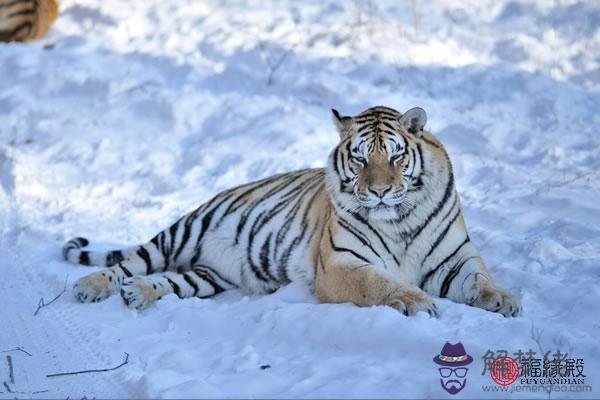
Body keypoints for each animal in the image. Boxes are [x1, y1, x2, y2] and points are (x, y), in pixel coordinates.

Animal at [62, 104, 520, 318]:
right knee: (127, 263)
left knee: (168, 281)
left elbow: (480, 279)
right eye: (359, 158)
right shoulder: (341, 265)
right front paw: (418, 303)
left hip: (208, 275)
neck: (399, 220)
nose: (379, 192)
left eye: (394, 156)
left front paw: (505, 300)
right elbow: (380, 283)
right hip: (183, 232)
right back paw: (91, 286)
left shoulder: (455, 258)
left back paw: (138, 293)